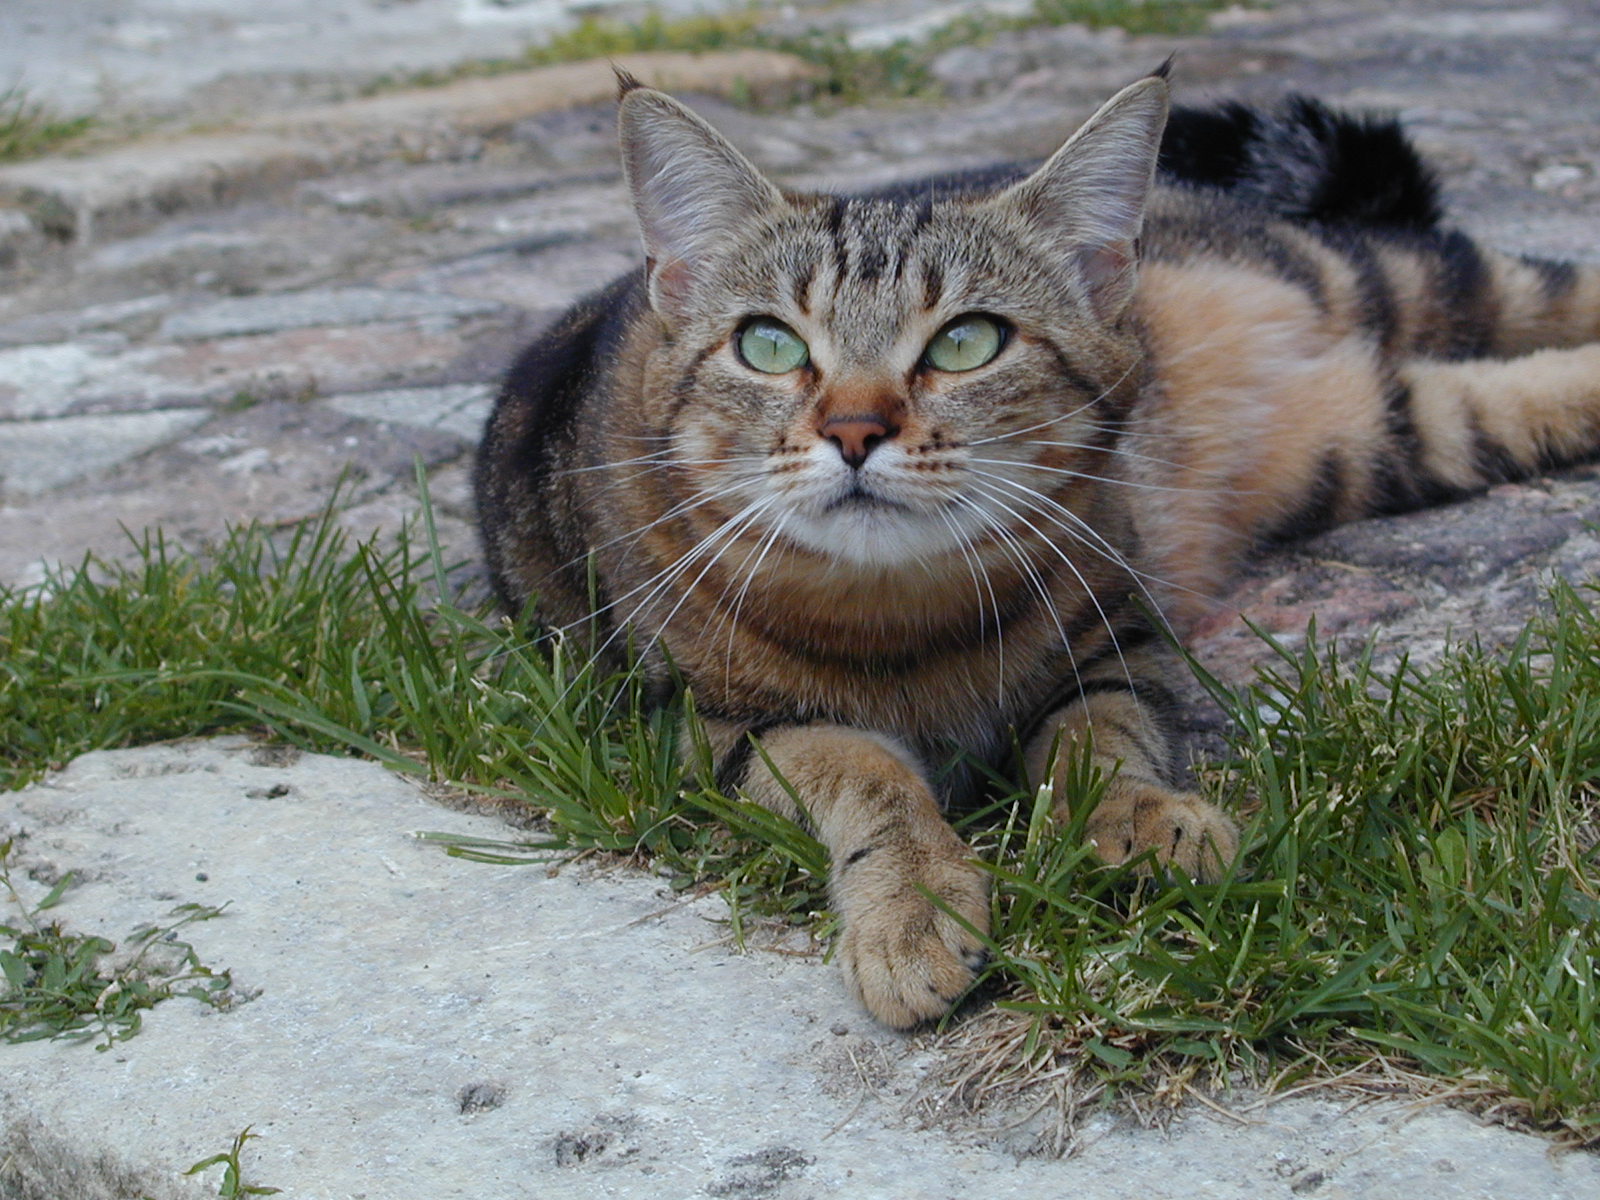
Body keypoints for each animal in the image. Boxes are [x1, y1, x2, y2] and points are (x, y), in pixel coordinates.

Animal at [473, 65, 1600, 1030]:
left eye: (968, 340)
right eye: (769, 344)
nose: (854, 430)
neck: (900, 617)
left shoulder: (1116, 645)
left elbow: (1101, 741)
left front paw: (1146, 822)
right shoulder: (713, 729)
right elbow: (867, 776)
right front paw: (913, 909)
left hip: (1390, 289)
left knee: (1535, 287)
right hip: (1381, 434)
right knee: (1487, 391)